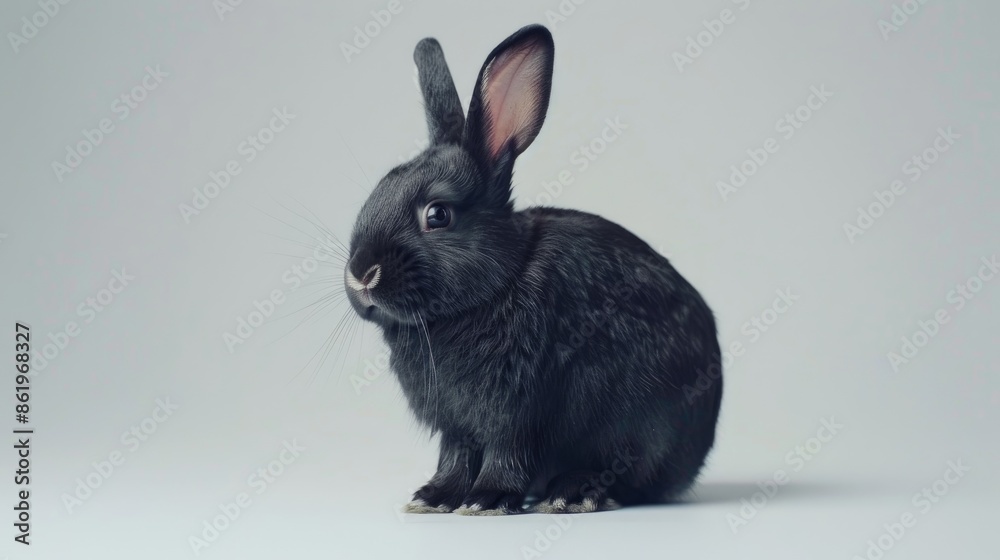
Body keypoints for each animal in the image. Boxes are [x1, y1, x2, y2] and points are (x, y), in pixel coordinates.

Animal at [343, 24, 722, 515]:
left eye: (438, 215)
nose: (360, 274)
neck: (498, 282)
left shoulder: (520, 409)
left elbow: (507, 453)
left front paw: (485, 499)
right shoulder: (456, 424)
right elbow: (454, 456)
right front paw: (434, 497)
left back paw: (571, 493)